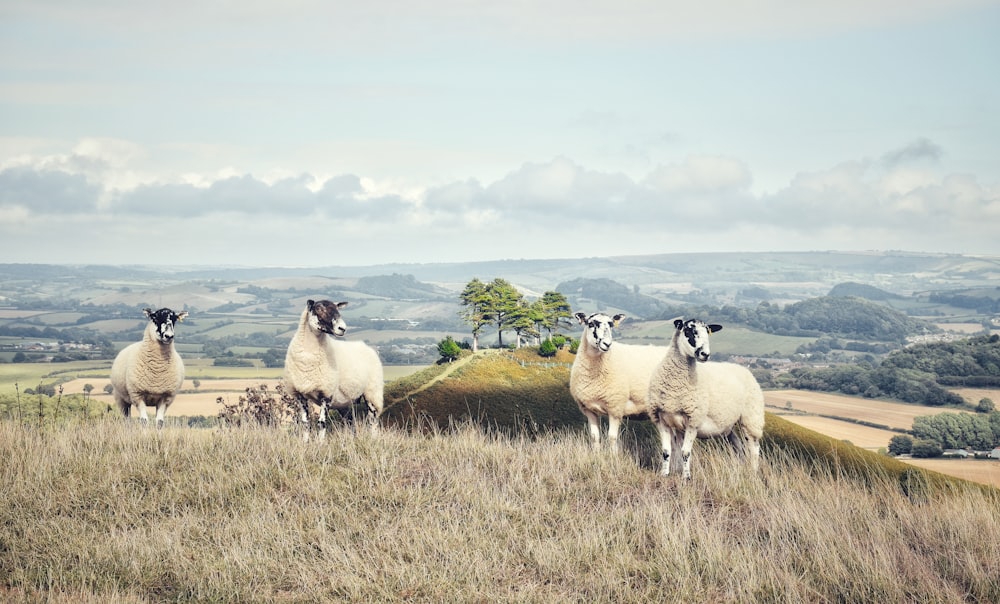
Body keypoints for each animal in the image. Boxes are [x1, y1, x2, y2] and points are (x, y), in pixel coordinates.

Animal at [282, 298, 348, 436]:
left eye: (337, 309)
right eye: (319, 309)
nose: (342, 328)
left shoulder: (327, 394)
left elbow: (321, 423)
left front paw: (320, 441)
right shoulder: (300, 394)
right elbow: (305, 423)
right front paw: (305, 441)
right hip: (344, 402)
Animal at [572, 314, 672, 450]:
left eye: (611, 324)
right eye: (591, 324)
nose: (607, 344)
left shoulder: (615, 407)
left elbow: (612, 437)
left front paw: (613, 455)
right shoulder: (589, 409)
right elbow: (594, 437)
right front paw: (596, 454)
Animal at [648, 318, 764, 478]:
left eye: (708, 333)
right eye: (688, 331)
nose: (705, 354)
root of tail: (744, 369)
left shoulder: (693, 420)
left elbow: (685, 452)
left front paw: (686, 477)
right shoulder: (662, 419)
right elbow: (667, 451)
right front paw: (665, 474)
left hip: (751, 417)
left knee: (754, 448)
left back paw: (753, 472)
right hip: (728, 426)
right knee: (739, 447)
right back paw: (740, 470)